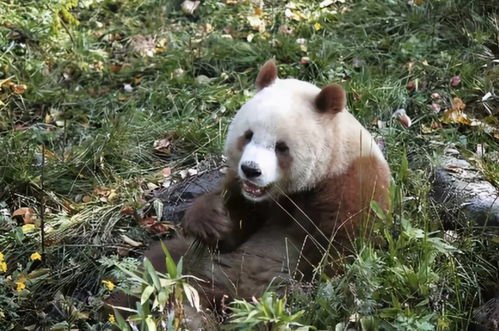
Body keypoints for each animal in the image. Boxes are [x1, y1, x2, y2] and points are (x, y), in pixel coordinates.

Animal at [107, 61, 392, 320]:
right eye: (248, 135)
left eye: (281, 147)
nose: (251, 170)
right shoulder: (248, 196)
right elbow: (231, 232)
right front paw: (211, 219)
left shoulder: (352, 184)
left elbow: (336, 251)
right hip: (191, 265)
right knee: (151, 270)